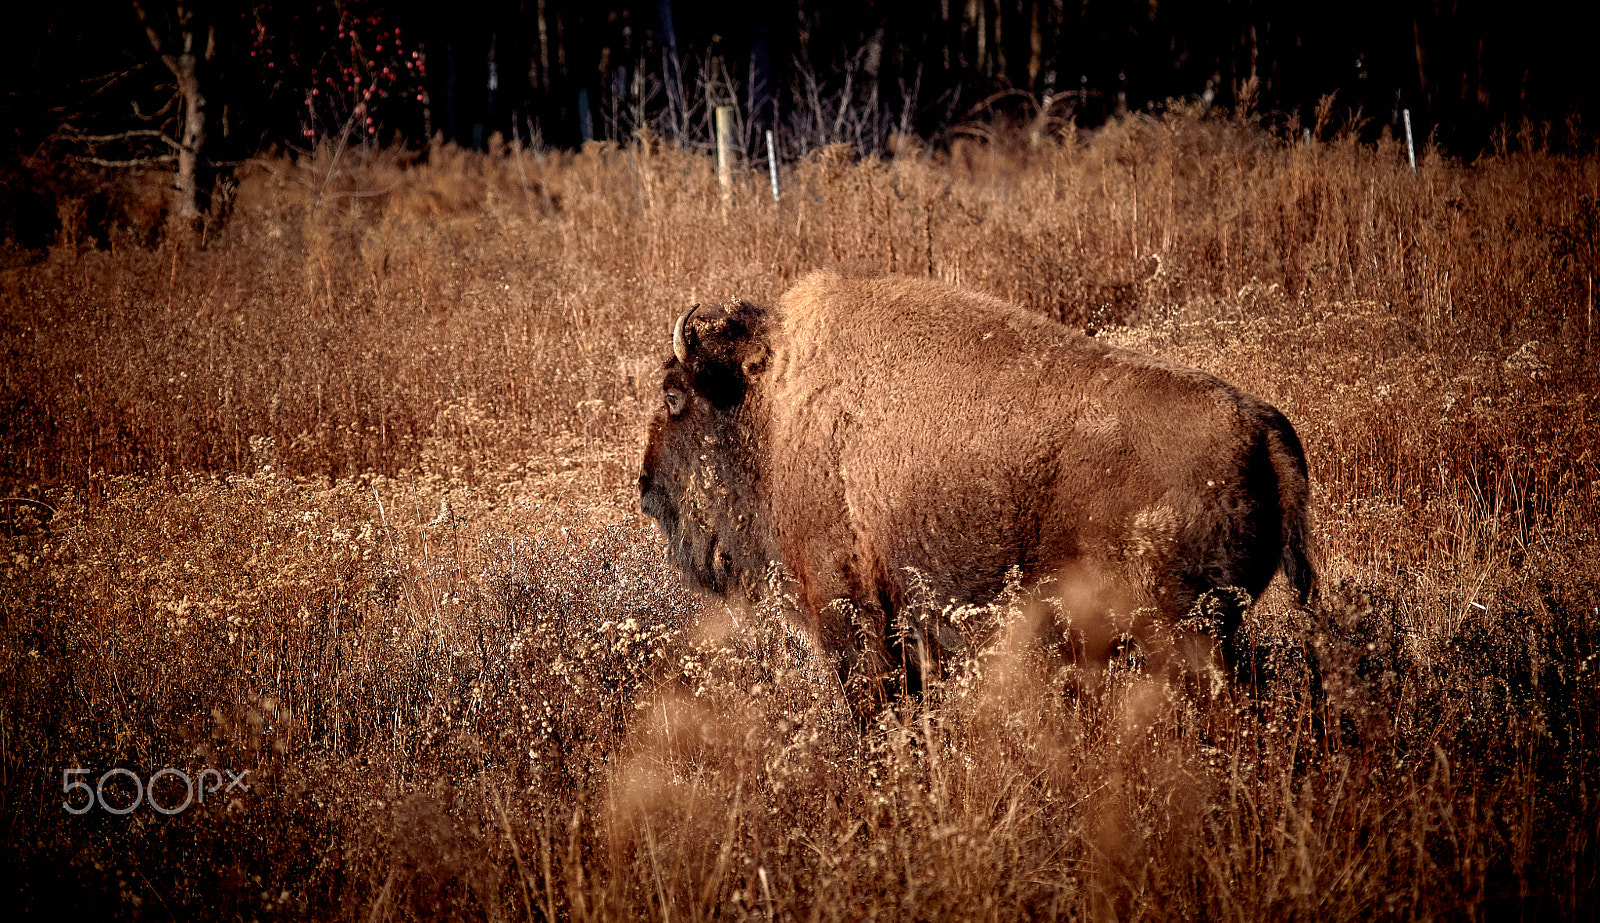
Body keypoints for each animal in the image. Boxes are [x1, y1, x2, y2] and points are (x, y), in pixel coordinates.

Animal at [639, 266, 1315, 711]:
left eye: (674, 395)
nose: (645, 488)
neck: (769, 405)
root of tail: (1265, 429)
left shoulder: (845, 603)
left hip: (1187, 635)